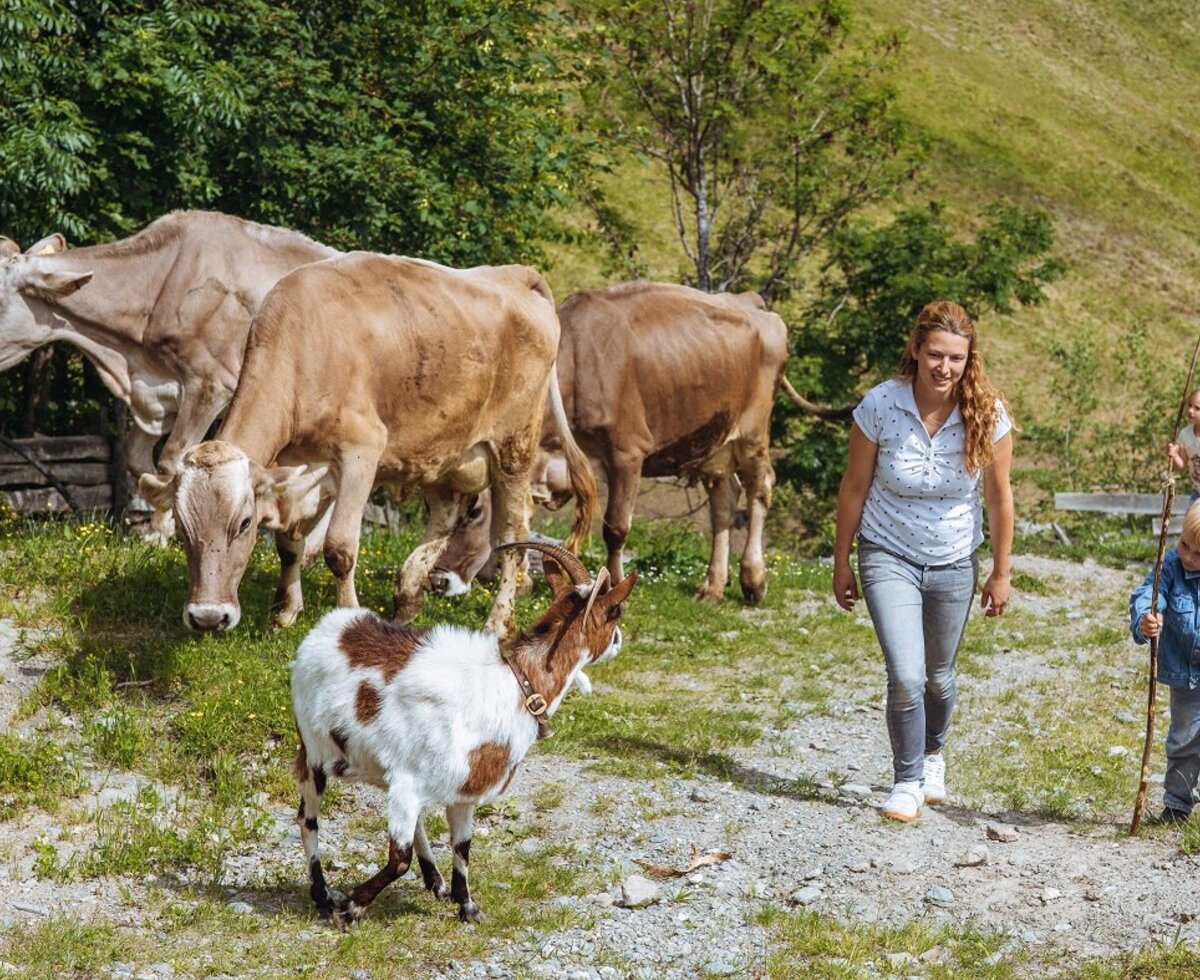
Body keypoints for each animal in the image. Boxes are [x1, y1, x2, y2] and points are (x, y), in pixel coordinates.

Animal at [290, 540, 637, 927]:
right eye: (615, 610)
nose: (619, 640)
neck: (518, 686)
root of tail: (329, 628)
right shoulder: (410, 783)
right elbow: (399, 859)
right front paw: (351, 906)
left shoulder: (461, 793)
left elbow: (462, 847)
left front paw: (467, 906)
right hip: (313, 751)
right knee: (307, 819)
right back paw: (322, 896)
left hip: (380, 768)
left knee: (414, 822)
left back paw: (436, 882)